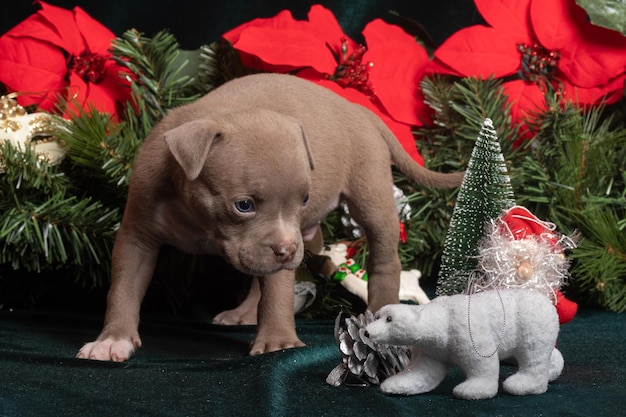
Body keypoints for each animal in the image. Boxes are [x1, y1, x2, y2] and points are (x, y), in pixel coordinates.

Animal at [75, 73, 460, 360]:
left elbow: (276, 291)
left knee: (384, 258)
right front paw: (113, 339)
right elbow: (123, 288)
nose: (287, 252)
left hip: (371, 194)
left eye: (303, 198)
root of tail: (358, 110)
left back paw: (380, 316)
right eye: (244, 205)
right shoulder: (137, 236)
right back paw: (244, 312)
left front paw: (277, 340)